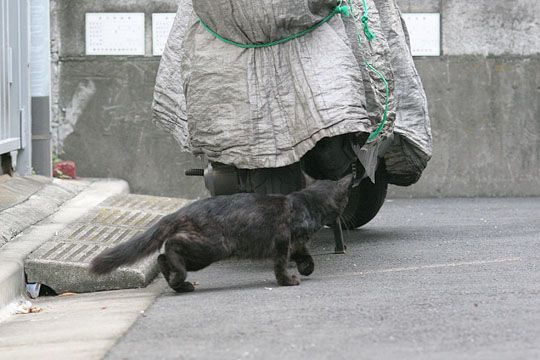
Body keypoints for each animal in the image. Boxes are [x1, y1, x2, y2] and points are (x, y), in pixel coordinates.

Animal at [89, 175, 350, 292]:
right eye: (345, 198)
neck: (306, 203)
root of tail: (181, 211)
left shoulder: (296, 245)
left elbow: (306, 257)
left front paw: (306, 268)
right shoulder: (282, 242)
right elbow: (280, 265)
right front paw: (287, 281)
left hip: (201, 253)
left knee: (162, 256)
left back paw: (178, 283)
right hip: (212, 248)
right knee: (171, 246)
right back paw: (179, 277)